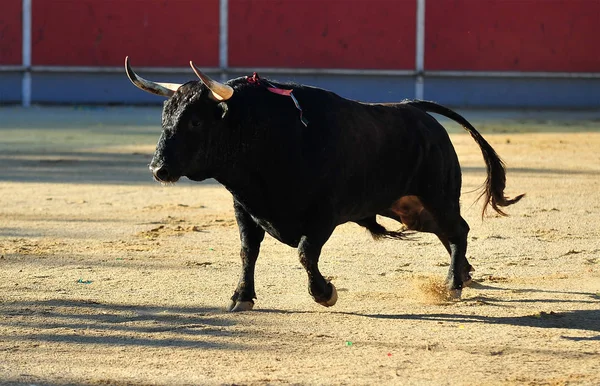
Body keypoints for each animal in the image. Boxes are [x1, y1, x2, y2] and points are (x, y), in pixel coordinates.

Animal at [125, 61, 520, 314]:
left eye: (194, 121)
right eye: (165, 117)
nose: (158, 169)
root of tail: (417, 112)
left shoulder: (323, 214)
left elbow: (304, 253)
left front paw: (325, 293)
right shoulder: (245, 209)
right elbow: (247, 252)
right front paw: (241, 297)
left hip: (437, 194)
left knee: (458, 229)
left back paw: (453, 283)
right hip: (410, 208)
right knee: (448, 232)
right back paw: (464, 274)